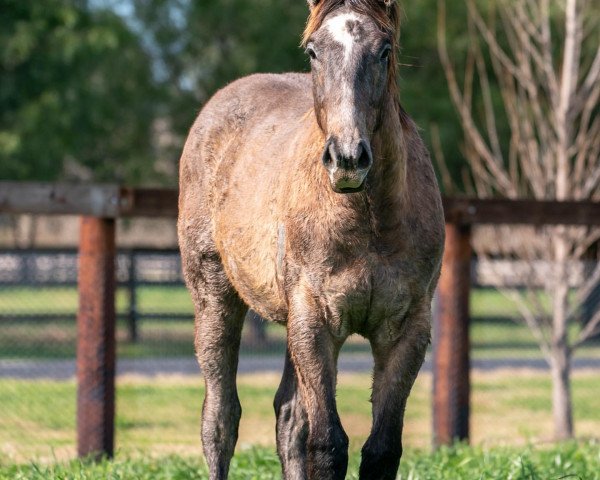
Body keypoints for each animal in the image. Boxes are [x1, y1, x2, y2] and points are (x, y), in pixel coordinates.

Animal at [176, 1, 442, 478]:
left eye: (385, 50)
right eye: (314, 51)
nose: (347, 158)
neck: (369, 222)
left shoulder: (407, 331)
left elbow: (381, 449)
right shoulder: (314, 323)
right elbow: (327, 444)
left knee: (287, 417)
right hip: (216, 297)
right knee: (220, 419)